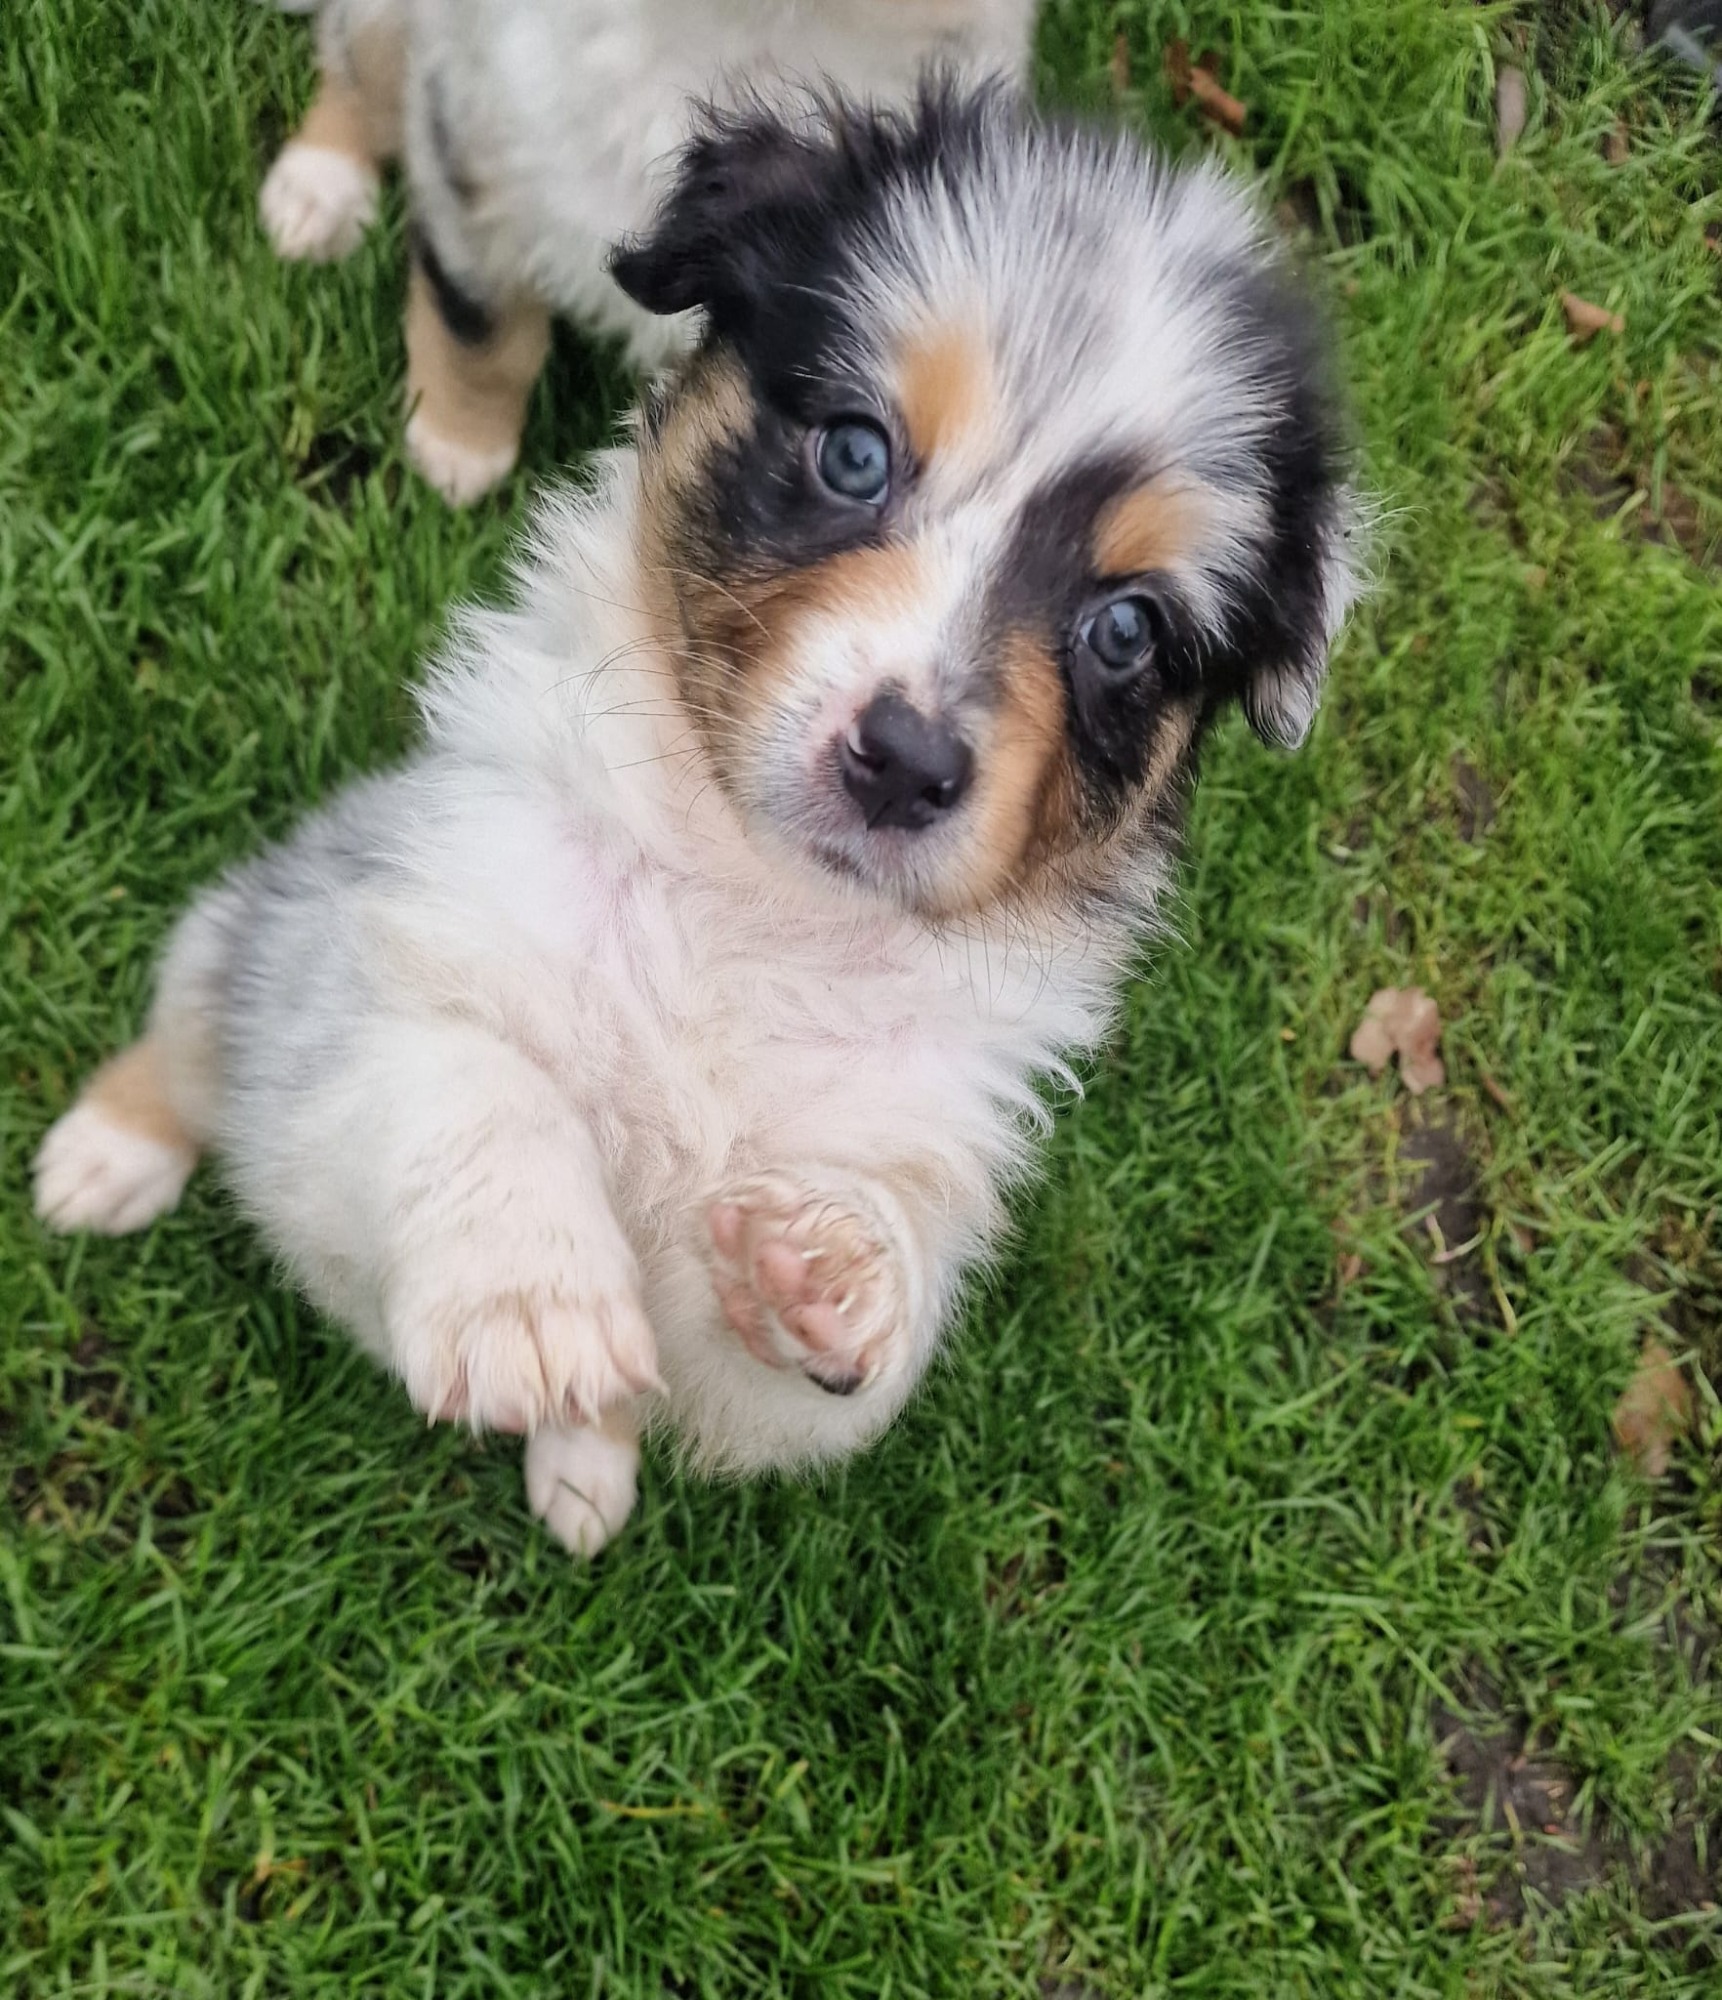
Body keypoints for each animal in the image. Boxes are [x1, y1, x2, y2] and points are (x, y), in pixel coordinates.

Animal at [36, 86, 1361, 1556]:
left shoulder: (801, 1292)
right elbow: (475, 1083)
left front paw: (836, 1265)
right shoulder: (395, 939)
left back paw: (584, 1472)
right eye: (855, 451)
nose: (904, 763)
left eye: (1125, 631)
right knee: (187, 1032)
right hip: (256, 915)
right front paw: (532, 1303)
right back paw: (103, 1160)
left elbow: (844, 1325)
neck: (748, 901)